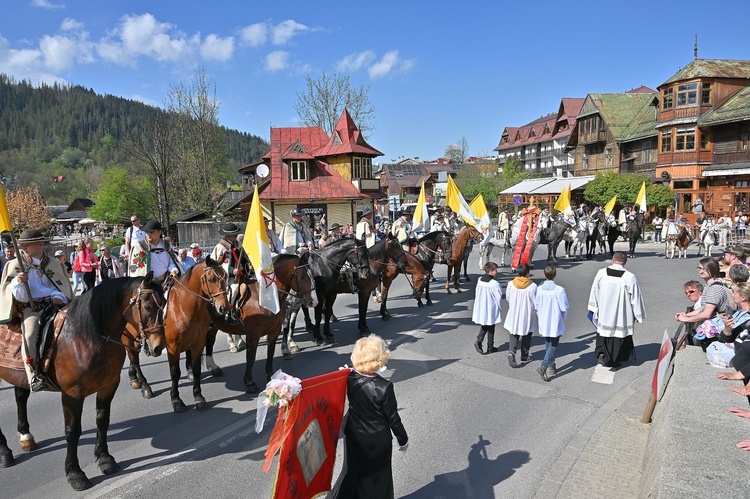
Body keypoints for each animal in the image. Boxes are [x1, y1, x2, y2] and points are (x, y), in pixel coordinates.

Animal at [0, 274, 166, 492]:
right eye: (147, 306)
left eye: (165, 303)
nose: (158, 347)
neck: (86, 335)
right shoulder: (72, 394)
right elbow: (72, 432)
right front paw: (75, 473)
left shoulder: (108, 385)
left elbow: (102, 421)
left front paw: (105, 459)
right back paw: (5, 452)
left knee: (20, 397)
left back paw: (26, 437)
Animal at [125, 258, 231, 414]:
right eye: (211, 279)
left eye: (226, 276)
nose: (224, 307)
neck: (182, 307)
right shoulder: (173, 348)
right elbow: (175, 373)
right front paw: (176, 400)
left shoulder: (198, 343)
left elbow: (197, 369)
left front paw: (199, 397)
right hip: (127, 339)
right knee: (134, 359)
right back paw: (144, 386)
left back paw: (134, 378)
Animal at [200, 254, 318, 394]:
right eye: (302, 276)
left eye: (312, 274)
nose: (314, 301)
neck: (267, 299)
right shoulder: (253, 334)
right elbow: (251, 358)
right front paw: (249, 383)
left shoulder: (274, 331)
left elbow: (270, 353)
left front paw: (271, 375)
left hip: (213, 326)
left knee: (209, 342)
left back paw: (213, 367)